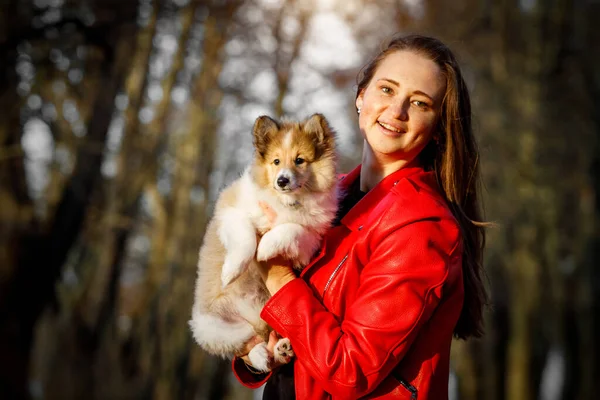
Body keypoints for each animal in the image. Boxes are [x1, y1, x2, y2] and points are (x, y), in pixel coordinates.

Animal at [189, 112, 338, 372]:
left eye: (300, 160)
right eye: (276, 161)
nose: (282, 181)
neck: (287, 201)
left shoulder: (310, 239)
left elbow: (292, 229)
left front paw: (267, 246)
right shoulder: (231, 213)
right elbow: (247, 238)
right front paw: (231, 272)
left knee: (265, 339)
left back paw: (281, 350)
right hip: (215, 330)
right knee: (248, 343)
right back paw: (262, 355)